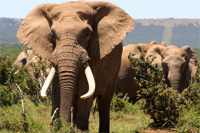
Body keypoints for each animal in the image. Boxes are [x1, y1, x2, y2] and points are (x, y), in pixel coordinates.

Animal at [16, 0, 134, 132]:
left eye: (87, 33)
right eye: (52, 34)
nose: (62, 125)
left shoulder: (96, 53)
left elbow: (85, 88)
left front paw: (80, 130)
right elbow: (57, 86)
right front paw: (57, 126)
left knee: (104, 102)